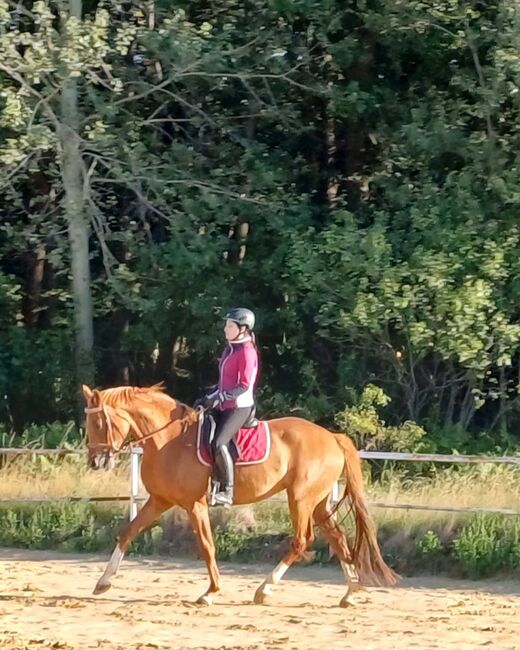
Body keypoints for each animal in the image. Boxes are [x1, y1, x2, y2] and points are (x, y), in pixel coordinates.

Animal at [83, 382, 396, 604]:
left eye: (99, 423)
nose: (95, 462)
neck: (169, 440)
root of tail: (332, 437)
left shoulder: (194, 504)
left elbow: (206, 546)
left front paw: (211, 592)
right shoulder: (160, 500)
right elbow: (128, 532)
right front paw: (103, 582)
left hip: (301, 499)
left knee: (302, 541)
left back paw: (265, 589)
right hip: (318, 503)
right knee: (338, 539)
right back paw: (351, 592)